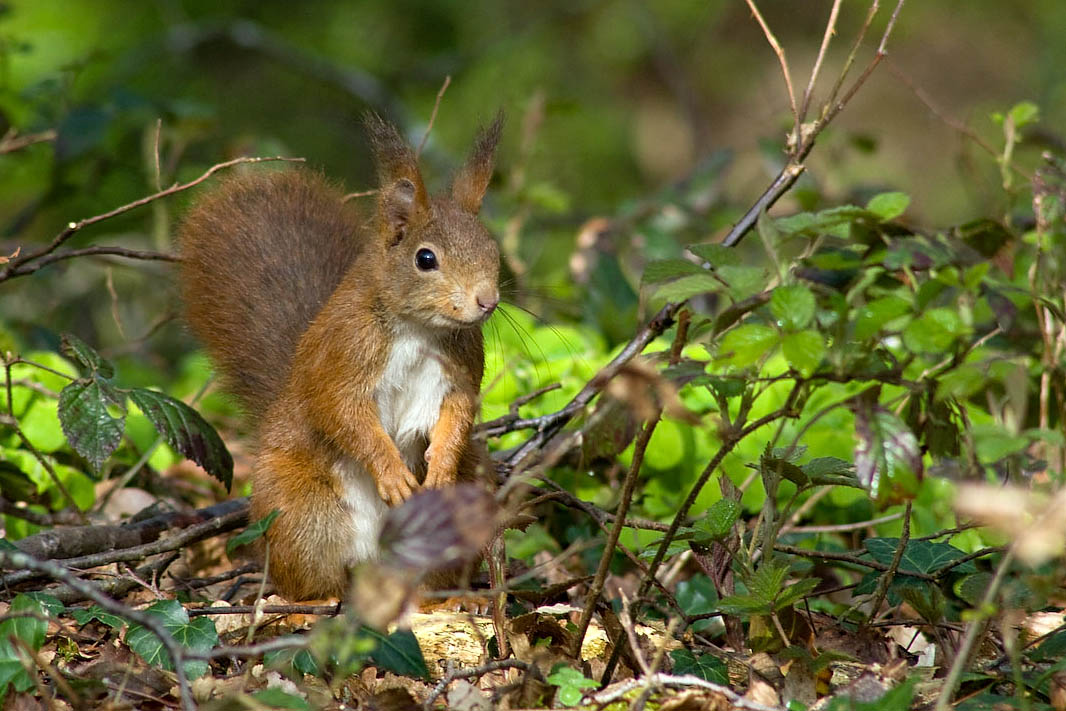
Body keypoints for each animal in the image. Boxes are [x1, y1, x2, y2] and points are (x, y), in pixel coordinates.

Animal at [180, 115, 503, 601]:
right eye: (425, 258)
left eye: (492, 248)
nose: (487, 300)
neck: (420, 330)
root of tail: (372, 555)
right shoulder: (342, 354)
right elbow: (340, 411)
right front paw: (391, 473)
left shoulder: (462, 368)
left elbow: (458, 414)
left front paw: (441, 469)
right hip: (302, 518)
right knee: (310, 581)